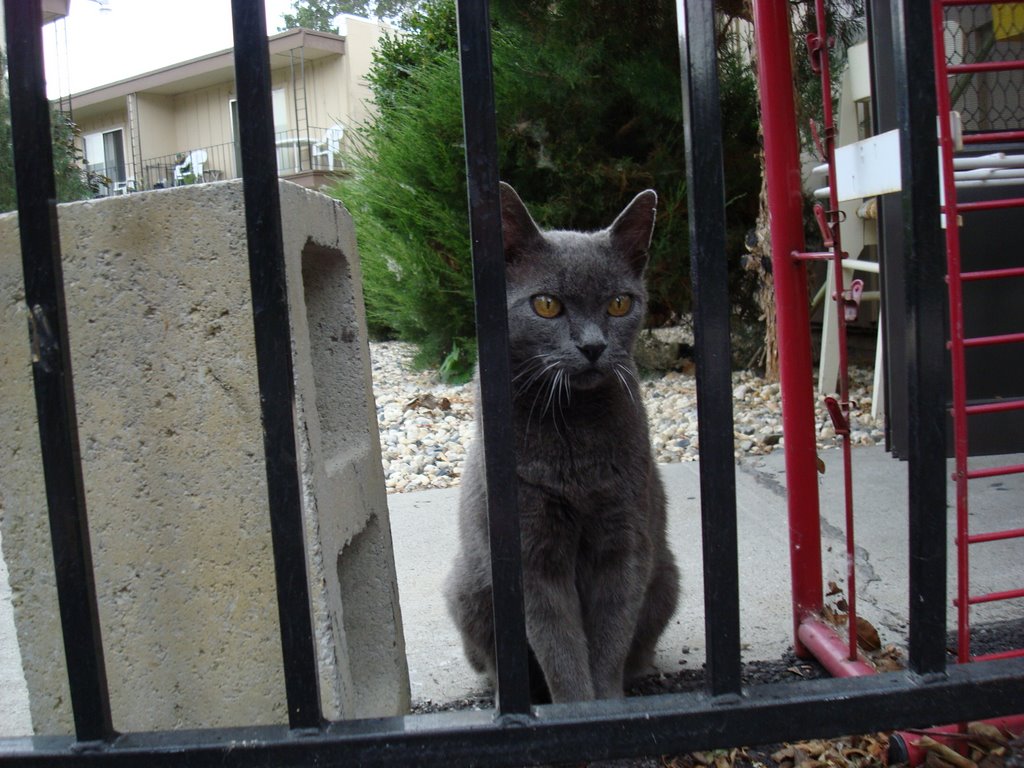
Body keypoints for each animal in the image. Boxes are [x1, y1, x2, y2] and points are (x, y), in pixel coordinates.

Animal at [446, 182, 679, 704]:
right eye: (547, 305)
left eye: (619, 303)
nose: (593, 346)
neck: (574, 429)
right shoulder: (531, 551)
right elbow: (560, 647)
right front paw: (577, 707)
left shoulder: (624, 537)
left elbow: (609, 638)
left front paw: (607, 705)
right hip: (468, 589)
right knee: (493, 661)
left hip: (667, 578)